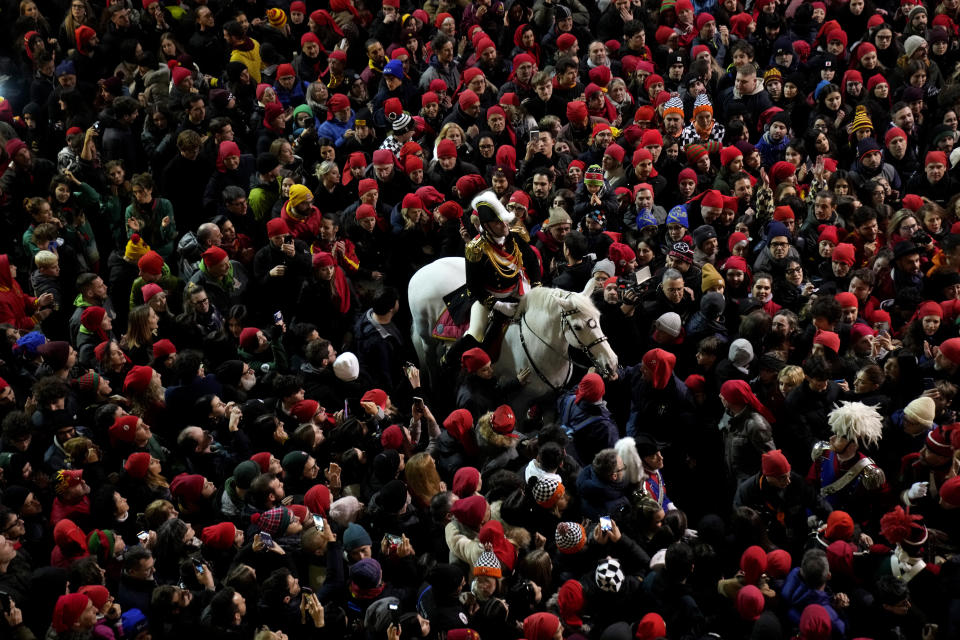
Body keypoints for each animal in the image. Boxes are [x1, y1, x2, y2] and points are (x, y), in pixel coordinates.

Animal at [404, 258, 616, 408]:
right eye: (578, 327)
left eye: (598, 318)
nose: (612, 363)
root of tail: (422, 270)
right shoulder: (518, 402)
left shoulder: (549, 400)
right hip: (426, 338)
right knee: (432, 360)